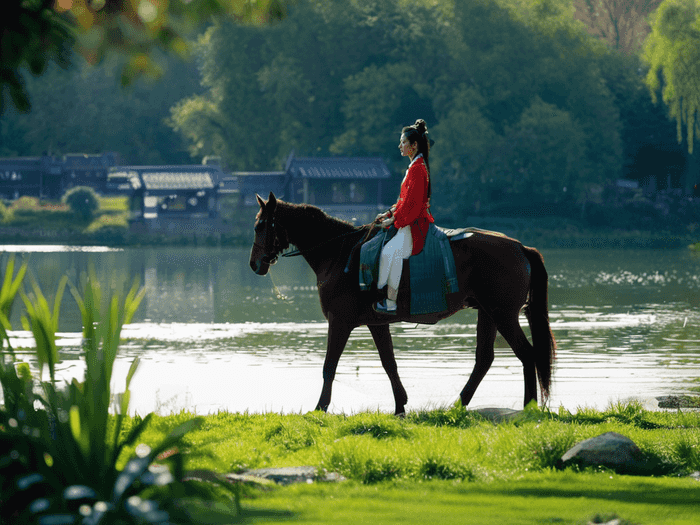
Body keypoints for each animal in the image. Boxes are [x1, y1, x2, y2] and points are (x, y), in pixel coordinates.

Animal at [249, 192, 556, 414]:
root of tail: (520, 246)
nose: (254, 264)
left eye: (261, 225)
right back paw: (458, 404)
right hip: (489, 314)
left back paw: (528, 407)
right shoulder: (376, 324)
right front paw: (400, 405)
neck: (339, 253)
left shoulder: (339, 322)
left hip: (503, 315)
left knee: (527, 354)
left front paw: (319, 408)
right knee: (484, 359)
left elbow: (329, 366)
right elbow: (389, 364)